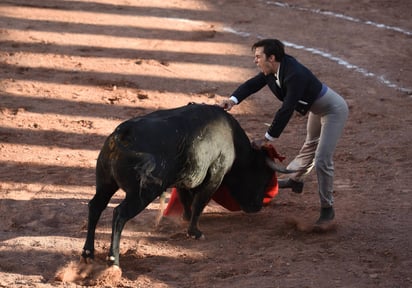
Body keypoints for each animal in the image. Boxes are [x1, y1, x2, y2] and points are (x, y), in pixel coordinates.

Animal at [81, 103, 292, 268]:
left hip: (105, 183)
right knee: (119, 214)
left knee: (96, 206)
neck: (233, 140)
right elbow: (199, 203)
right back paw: (113, 260)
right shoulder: (215, 176)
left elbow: (186, 200)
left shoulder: (184, 179)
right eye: (263, 175)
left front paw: (186, 219)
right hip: (143, 193)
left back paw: (88, 253)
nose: (257, 206)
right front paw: (194, 232)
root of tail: (124, 131)